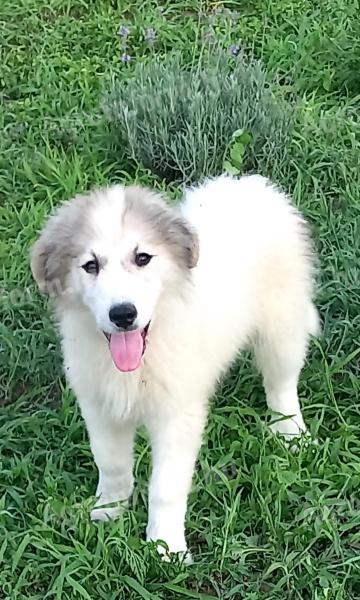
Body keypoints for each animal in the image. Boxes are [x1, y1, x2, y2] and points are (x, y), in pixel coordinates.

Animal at [31, 176, 318, 560]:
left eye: (142, 258)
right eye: (90, 265)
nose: (123, 314)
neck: (139, 360)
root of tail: (248, 185)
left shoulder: (176, 417)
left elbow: (165, 488)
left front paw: (165, 548)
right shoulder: (100, 407)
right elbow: (111, 463)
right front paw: (109, 510)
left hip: (282, 325)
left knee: (282, 383)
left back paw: (290, 433)